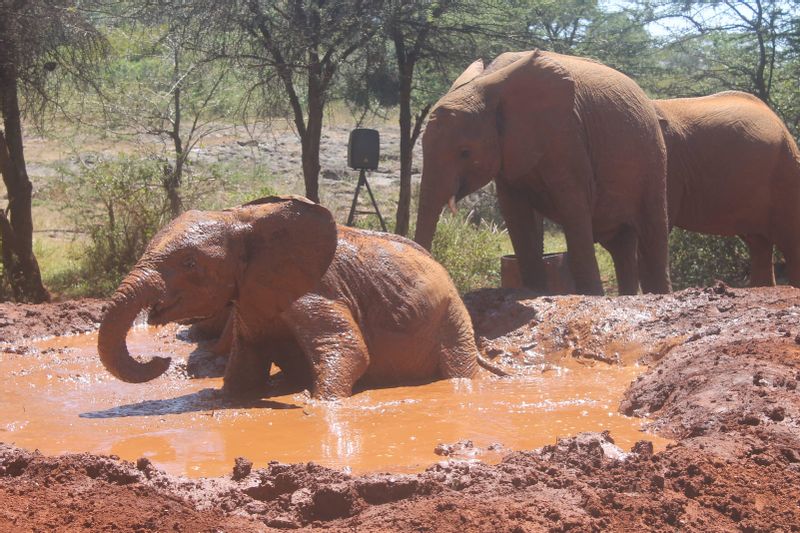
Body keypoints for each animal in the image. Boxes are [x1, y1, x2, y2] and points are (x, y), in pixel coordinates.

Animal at [98, 193, 500, 396]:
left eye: (189, 263)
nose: (161, 358)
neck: (245, 220)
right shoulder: (251, 299)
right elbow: (245, 367)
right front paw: (226, 398)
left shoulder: (314, 291)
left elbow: (351, 350)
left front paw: (316, 405)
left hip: (451, 317)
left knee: (457, 369)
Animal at [416, 48, 672, 296]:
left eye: (465, 152)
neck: (488, 82)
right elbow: (516, 213)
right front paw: (534, 292)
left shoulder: (567, 134)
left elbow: (573, 205)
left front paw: (591, 295)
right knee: (622, 246)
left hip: (653, 157)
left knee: (653, 234)